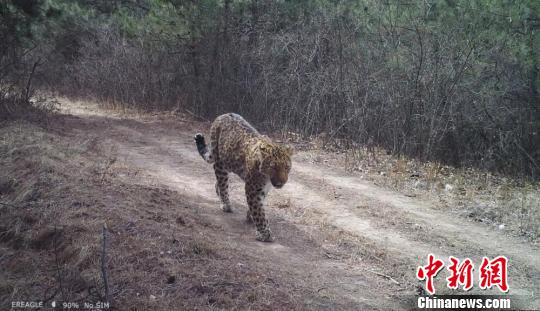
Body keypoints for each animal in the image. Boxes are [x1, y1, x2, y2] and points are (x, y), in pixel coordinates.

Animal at [194, 113, 294, 243]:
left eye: (287, 167)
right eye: (273, 167)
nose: (282, 182)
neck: (266, 178)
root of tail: (223, 115)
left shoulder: (263, 189)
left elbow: (259, 205)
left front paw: (250, 216)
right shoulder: (253, 188)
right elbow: (258, 210)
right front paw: (264, 234)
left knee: (218, 183)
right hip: (221, 163)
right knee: (222, 183)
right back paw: (226, 204)